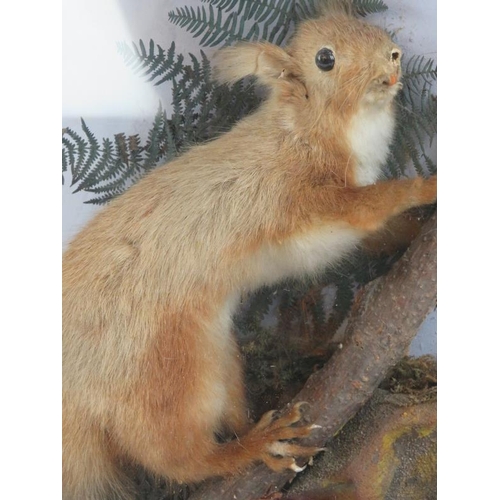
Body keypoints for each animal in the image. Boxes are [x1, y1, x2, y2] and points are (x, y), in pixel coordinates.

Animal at [62, 4, 438, 500]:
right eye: (325, 59)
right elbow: (379, 201)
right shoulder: (303, 199)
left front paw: (414, 231)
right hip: (172, 382)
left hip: (221, 356)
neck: (309, 127)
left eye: (367, 26)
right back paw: (260, 444)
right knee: (181, 461)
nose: (393, 57)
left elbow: (380, 232)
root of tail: (79, 385)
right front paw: (429, 186)